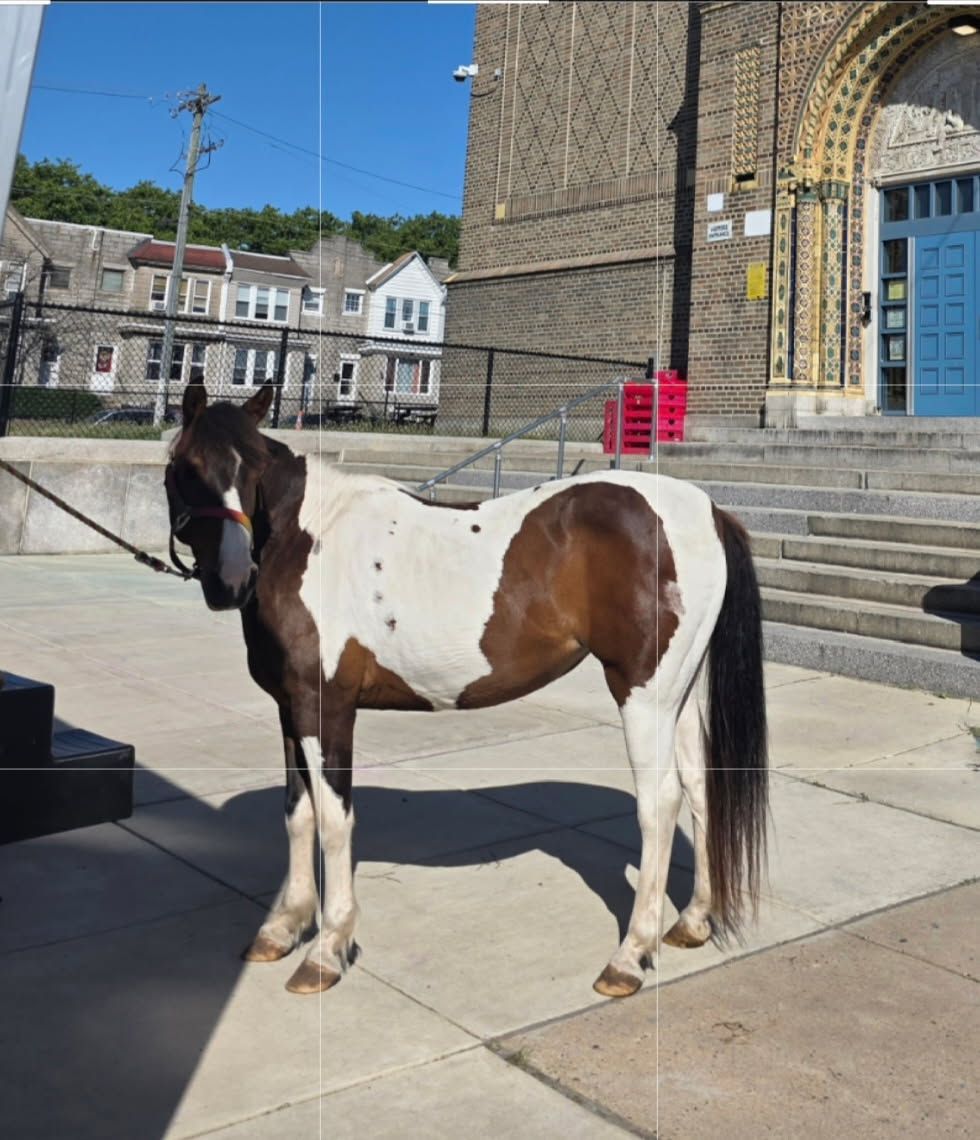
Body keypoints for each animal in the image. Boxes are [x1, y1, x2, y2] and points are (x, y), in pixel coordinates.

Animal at [164, 380, 768, 998]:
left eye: (255, 468)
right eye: (188, 467)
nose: (231, 580)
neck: (310, 540)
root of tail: (706, 510)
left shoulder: (325, 706)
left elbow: (333, 820)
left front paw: (327, 948)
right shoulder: (291, 709)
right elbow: (298, 813)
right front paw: (283, 927)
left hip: (643, 694)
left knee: (660, 801)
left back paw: (630, 954)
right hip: (678, 696)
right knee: (699, 787)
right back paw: (692, 921)